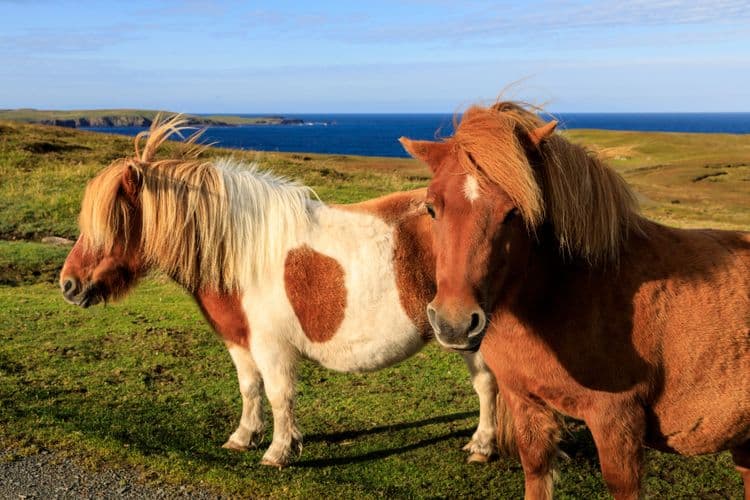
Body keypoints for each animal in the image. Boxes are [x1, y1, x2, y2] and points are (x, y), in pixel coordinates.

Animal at [59, 116, 515, 468]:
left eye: (113, 223)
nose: (68, 284)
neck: (241, 252)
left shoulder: (272, 346)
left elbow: (280, 395)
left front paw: (278, 452)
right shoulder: (240, 340)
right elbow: (249, 388)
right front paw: (243, 437)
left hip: (467, 334)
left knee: (486, 385)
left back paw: (482, 446)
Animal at [400, 101, 750, 499]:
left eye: (514, 212)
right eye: (431, 208)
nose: (455, 324)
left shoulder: (617, 422)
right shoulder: (526, 404)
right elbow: (536, 472)